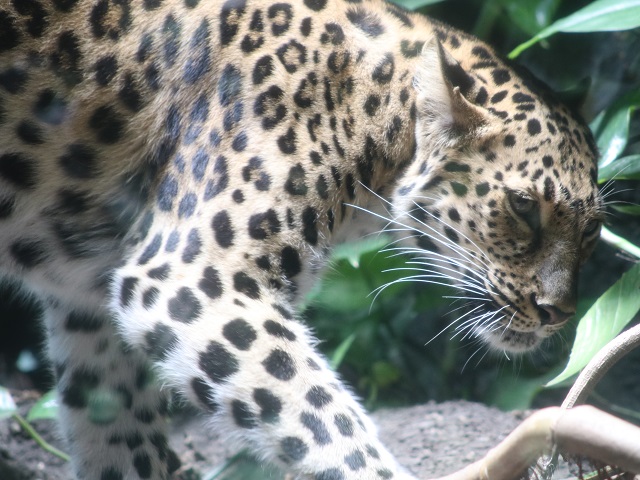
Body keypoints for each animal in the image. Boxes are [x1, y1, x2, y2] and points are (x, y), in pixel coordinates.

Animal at [0, 0, 603, 478]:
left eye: (594, 229)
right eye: (523, 207)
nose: (559, 313)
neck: (370, 111)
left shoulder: (88, 304)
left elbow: (119, 432)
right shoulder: (192, 278)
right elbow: (320, 414)